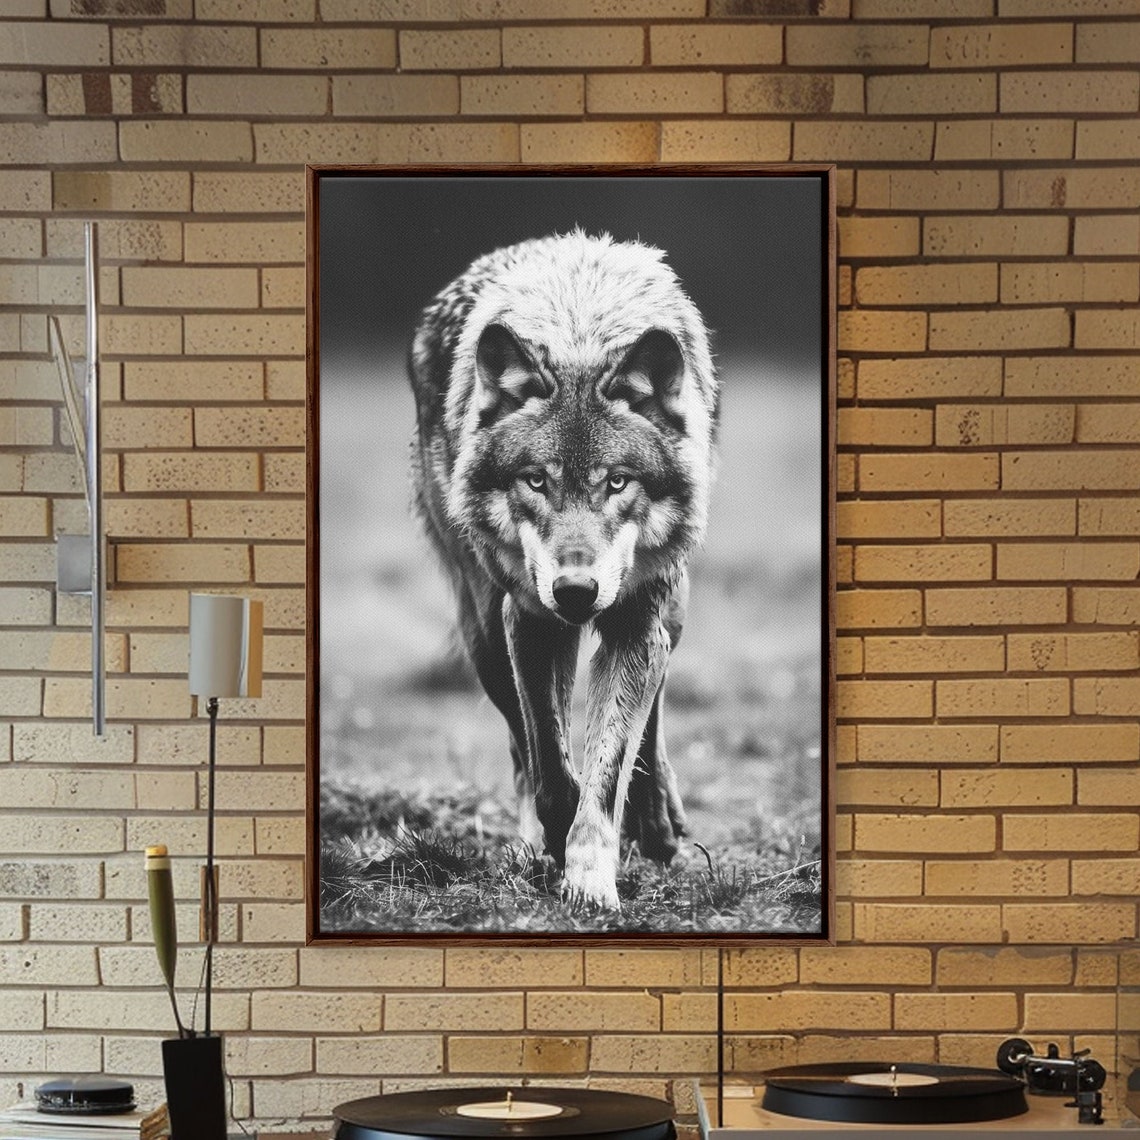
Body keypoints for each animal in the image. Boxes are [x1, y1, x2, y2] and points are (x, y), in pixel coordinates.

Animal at [408, 230, 719, 910]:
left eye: (617, 482)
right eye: (535, 481)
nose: (576, 591)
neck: (580, 331)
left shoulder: (633, 622)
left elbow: (609, 761)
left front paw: (592, 877)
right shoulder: (528, 620)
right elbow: (550, 760)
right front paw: (559, 833)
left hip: (670, 608)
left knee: (653, 707)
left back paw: (657, 820)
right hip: (483, 631)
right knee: (522, 747)